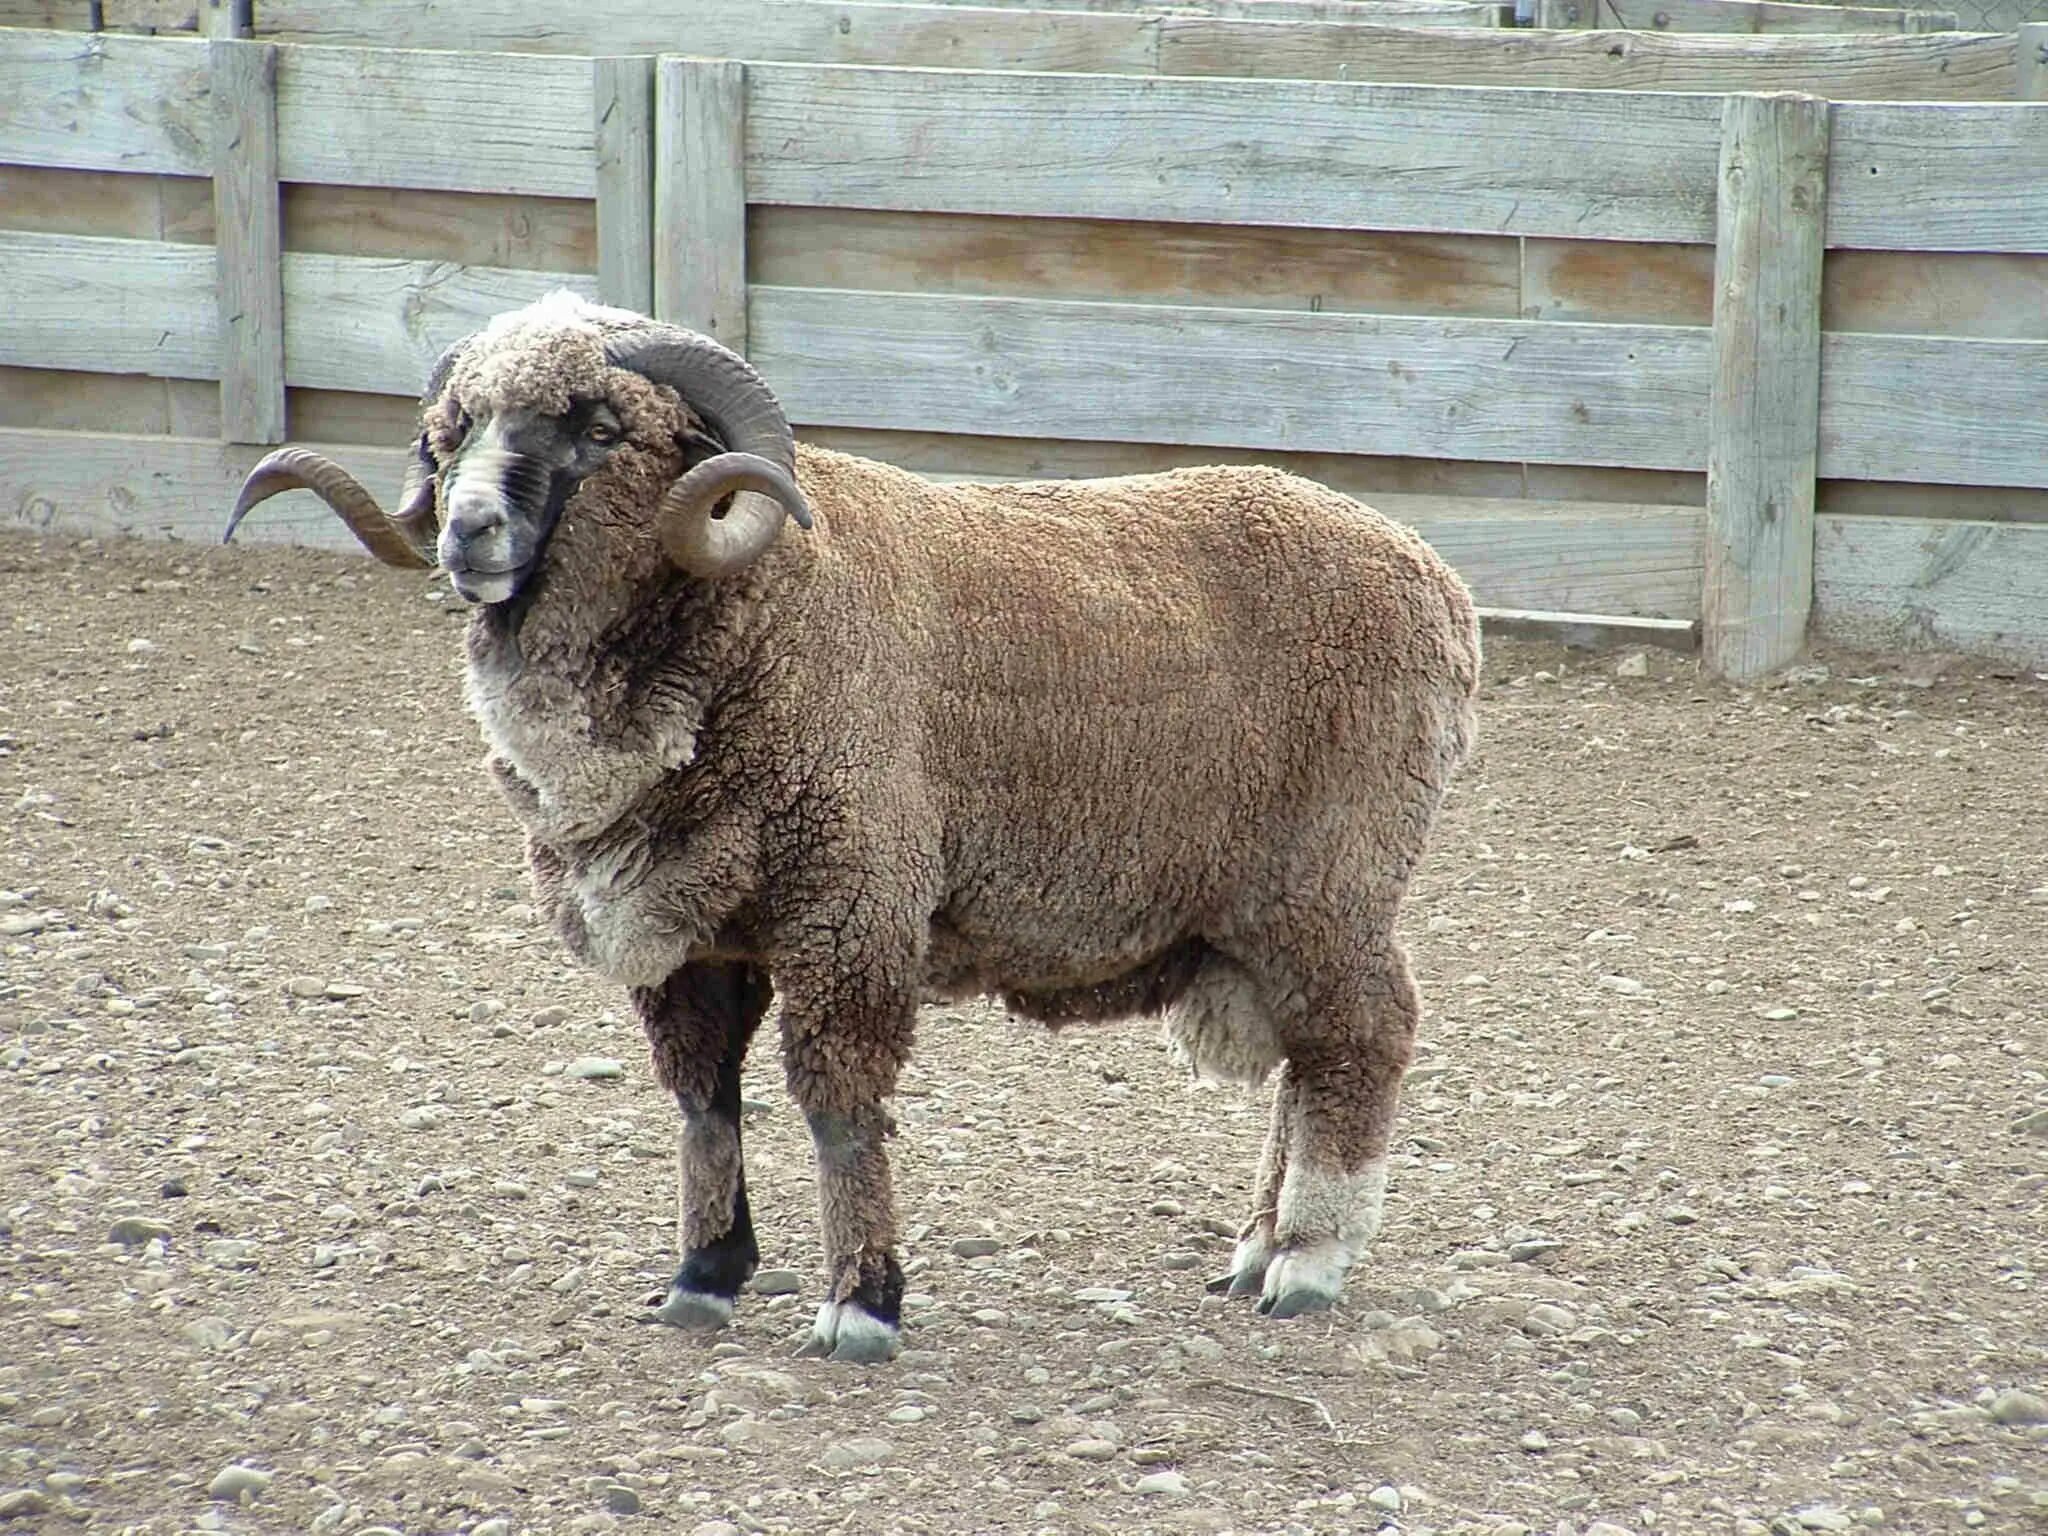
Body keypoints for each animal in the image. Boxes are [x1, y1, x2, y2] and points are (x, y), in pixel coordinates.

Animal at [224, 288, 1482, 1359]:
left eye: (597, 427)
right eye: (452, 430)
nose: (468, 532)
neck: (765, 607)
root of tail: (1440, 587)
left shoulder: (850, 907)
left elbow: (836, 1107)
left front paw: (860, 1305)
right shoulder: (692, 936)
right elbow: (702, 1103)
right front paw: (703, 1278)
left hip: (1327, 877)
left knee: (1363, 1037)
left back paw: (1307, 1262)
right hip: (1261, 913)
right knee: (1306, 1059)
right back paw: (1256, 1247)